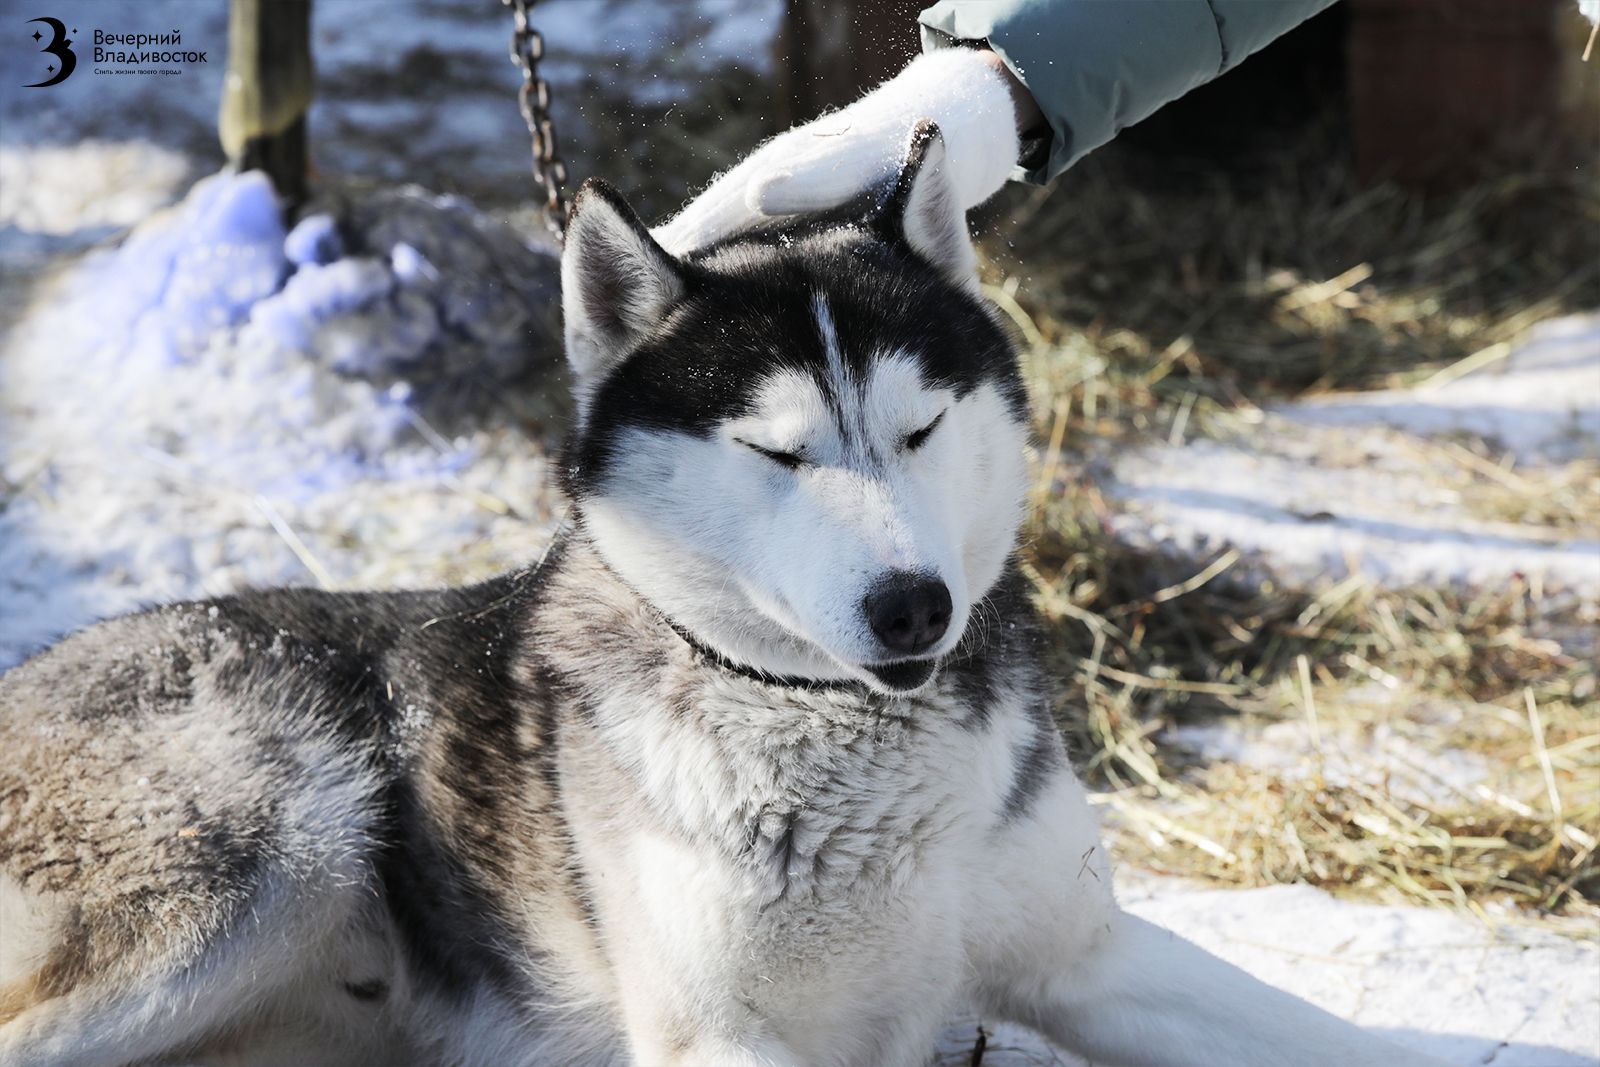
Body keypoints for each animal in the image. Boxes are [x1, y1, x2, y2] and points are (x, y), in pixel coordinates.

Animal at [0, 127, 1440, 1067]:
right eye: (779, 451)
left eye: (919, 429)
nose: (915, 607)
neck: (848, 741)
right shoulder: (719, 1034)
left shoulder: (1086, 954)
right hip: (274, 852)